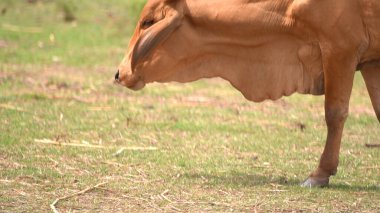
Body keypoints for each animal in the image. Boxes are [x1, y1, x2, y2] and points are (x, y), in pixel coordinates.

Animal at [115, 0, 380, 186]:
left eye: (148, 22)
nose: (119, 73)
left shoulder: (340, 48)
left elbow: (334, 113)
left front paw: (320, 174)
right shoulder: (370, 63)